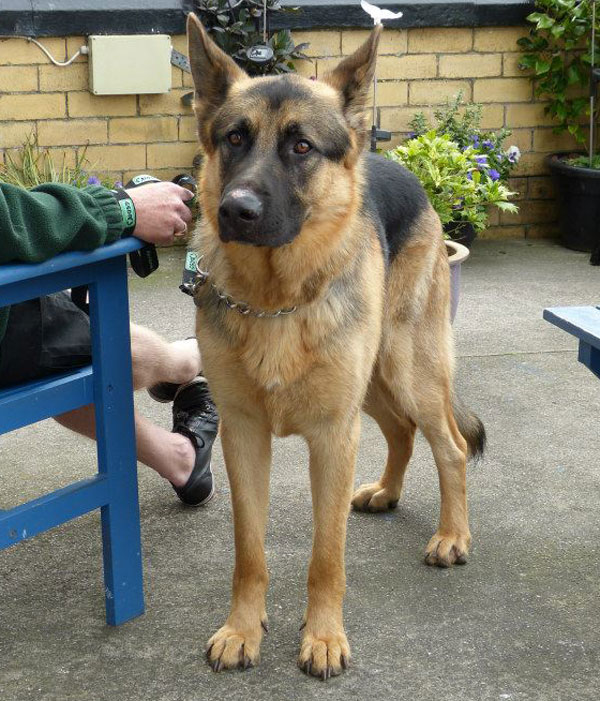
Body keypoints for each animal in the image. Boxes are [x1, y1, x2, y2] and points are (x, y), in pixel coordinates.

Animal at [185, 12, 486, 680]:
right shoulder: (244, 435)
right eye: (234, 139)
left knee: (449, 446)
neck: (275, 297)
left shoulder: (332, 435)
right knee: (401, 432)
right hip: (373, 386)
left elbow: (327, 554)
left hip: (406, 370)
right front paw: (243, 629)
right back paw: (387, 493)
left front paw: (323, 637)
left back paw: (452, 536)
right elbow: (250, 549)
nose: (235, 210)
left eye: (301, 146)